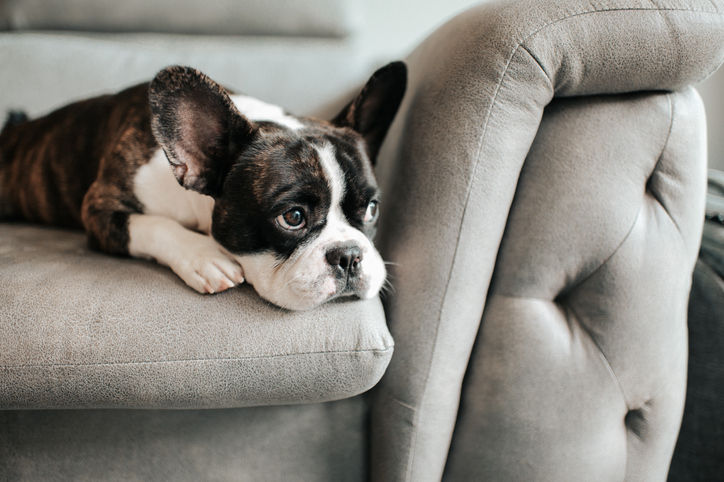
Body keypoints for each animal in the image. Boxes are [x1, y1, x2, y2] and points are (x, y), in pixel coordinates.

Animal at [0, 62, 408, 310]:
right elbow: (153, 224)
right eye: (293, 217)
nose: (349, 255)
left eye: (372, 209)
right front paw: (203, 256)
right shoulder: (100, 207)